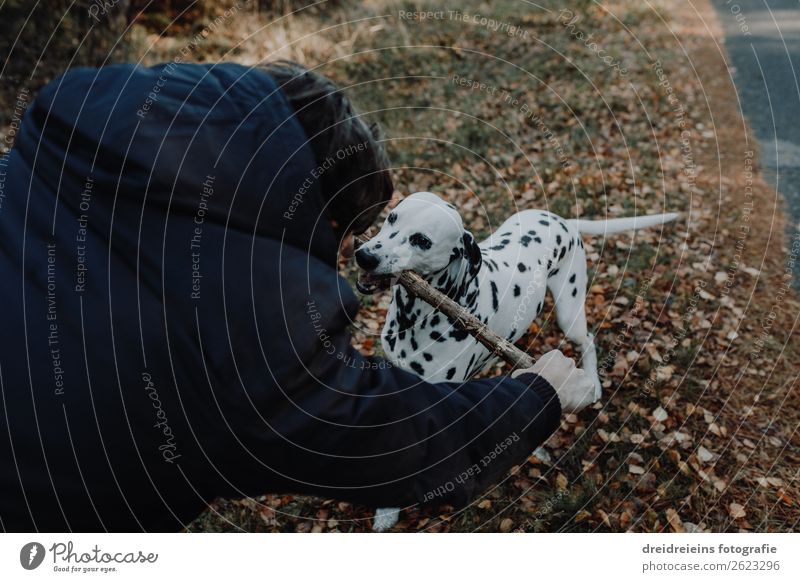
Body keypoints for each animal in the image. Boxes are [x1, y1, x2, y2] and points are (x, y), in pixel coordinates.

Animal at [360, 193, 680, 532]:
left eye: (421, 240)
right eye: (391, 218)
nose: (364, 256)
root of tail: (563, 220)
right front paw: (386, 509)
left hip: (569, 313)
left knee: (588, 340)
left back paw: (593, 383)